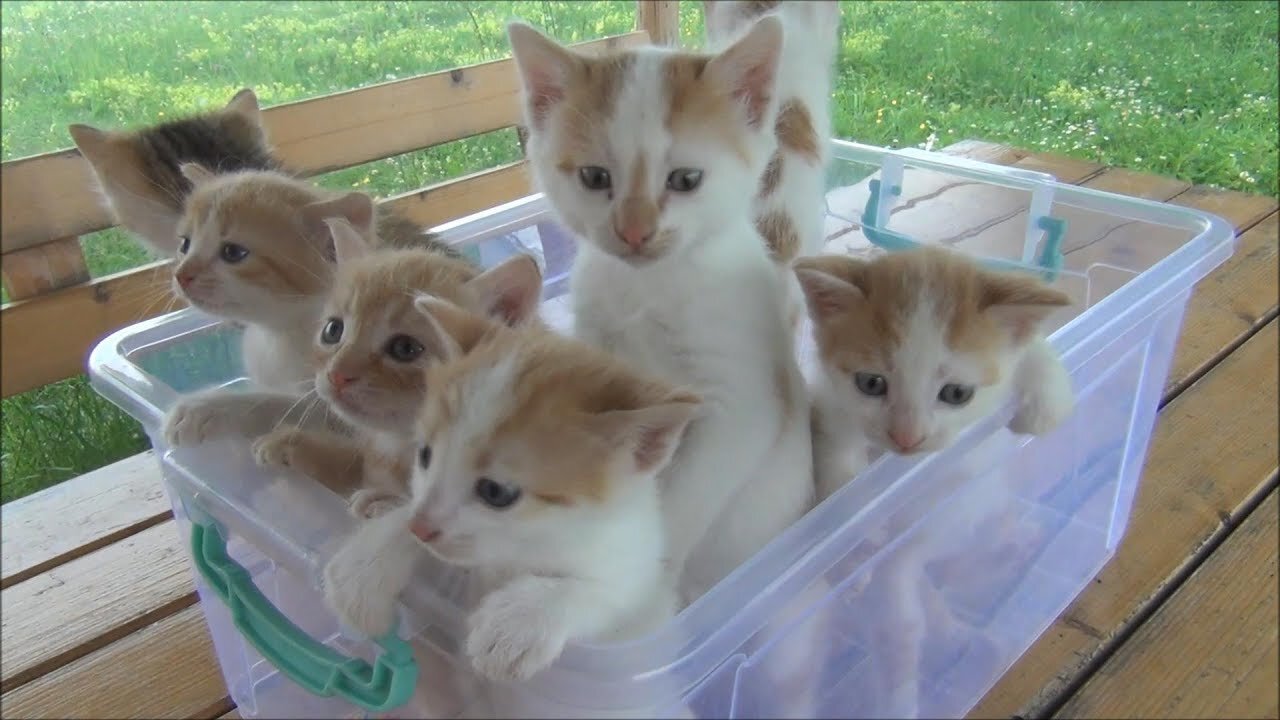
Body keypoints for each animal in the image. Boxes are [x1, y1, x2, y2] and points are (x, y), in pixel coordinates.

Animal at [250, 215, 545, 517]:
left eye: (405, 348)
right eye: (333, 331)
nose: (337, 375)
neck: (399, 448)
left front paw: (385, 501)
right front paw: (294, 446)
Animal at [320, 294, 701, 681]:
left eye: (496, 493)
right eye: (424, 454)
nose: (421, 528)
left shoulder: (642, 585)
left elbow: (603, 593)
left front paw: (516, 624)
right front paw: (363, 568)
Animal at [506, 15, 808, 604]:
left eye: (686, 180)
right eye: (595, 177)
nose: (634, 231)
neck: (649, 288)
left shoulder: (742, 401)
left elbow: (679, 505)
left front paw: (644, 581)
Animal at [793, 243, 1075, 502]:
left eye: (957, 393)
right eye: (871, 383)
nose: (907, 438)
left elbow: (1030, 347)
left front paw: (1047, 405)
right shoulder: (827, 398)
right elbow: (835, 457)